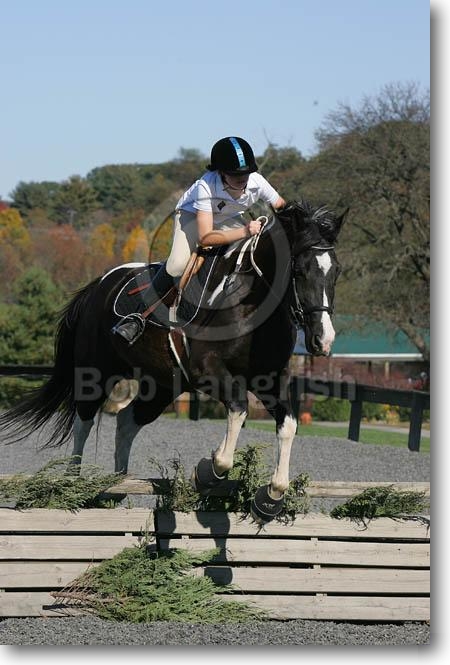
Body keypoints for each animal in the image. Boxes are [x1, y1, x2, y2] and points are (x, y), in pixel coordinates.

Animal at [0, 200, 347, 522]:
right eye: (299, 271)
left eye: (336, 272)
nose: (323, 340)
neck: (252, 303)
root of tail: (98, 284)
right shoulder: (206, 370)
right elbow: (238, 409)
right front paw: (208, 472)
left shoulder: (270, 380)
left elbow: (288, 425)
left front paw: (271, 498)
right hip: (95, 372)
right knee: (83, 420)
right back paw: (72, 481)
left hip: (162, 383)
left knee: (127, 421)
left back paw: (118, 484)